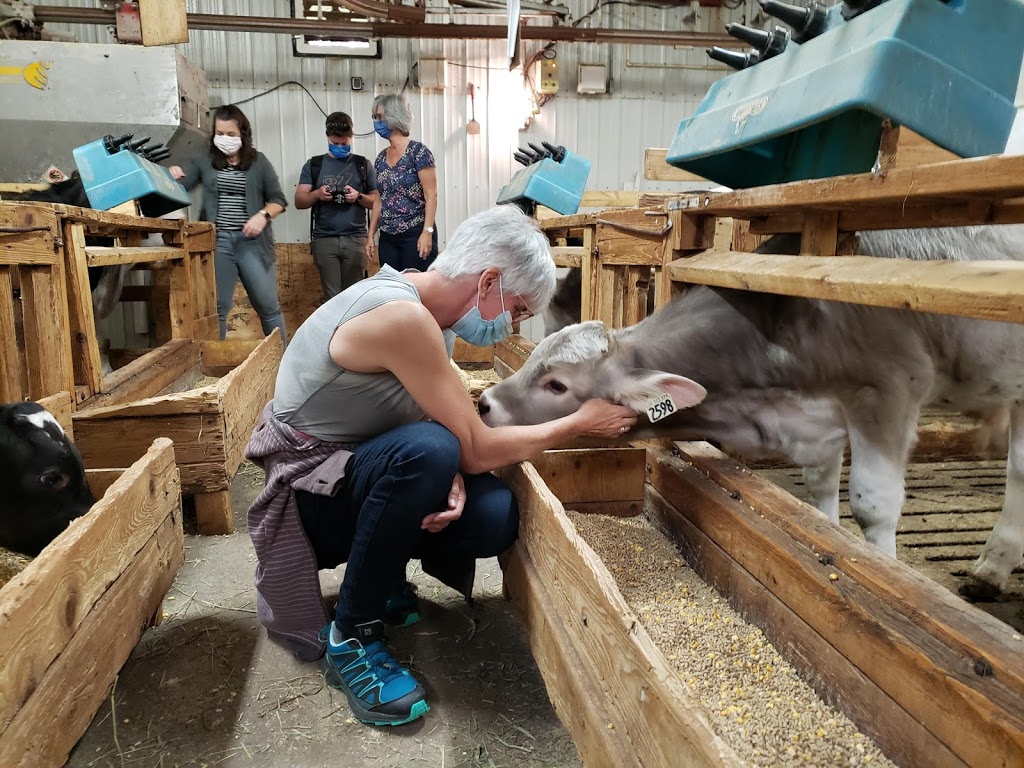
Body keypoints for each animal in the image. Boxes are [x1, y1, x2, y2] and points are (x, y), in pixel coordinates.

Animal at [479, 225, 1024, 598]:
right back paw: (991, 569)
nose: (484, 403)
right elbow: (821, 499)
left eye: (557, 384)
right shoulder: (817, 420)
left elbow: (874, 504)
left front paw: (880, 571)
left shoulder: (888, 388)